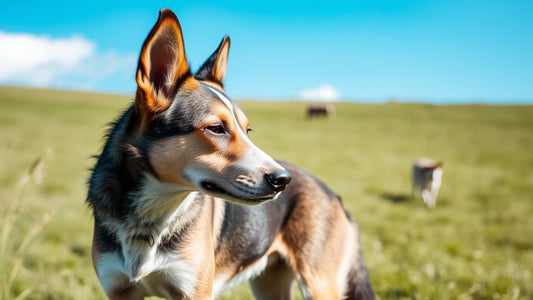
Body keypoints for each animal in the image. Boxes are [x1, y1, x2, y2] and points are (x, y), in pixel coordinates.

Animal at [86, 8, 374, 298]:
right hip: (270, 284)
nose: (283, 180)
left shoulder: (194, 291)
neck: (150, 218)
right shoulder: (120, 290)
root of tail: (333, 194)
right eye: (216, 128)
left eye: (248, 130)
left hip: (319, 283)